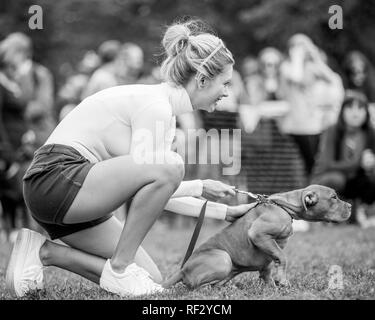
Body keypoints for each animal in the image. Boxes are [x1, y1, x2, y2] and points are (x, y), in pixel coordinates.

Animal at [164, 184, 352, 288]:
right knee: (195, 287)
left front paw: (272, 286)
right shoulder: (258, 233)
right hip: (223, 258)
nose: (350, 206)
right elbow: (283, 257)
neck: (286, 207)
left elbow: (269, 266)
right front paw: (282, 280)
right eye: (334, 197)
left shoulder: (267, 253)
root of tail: (182, 270)